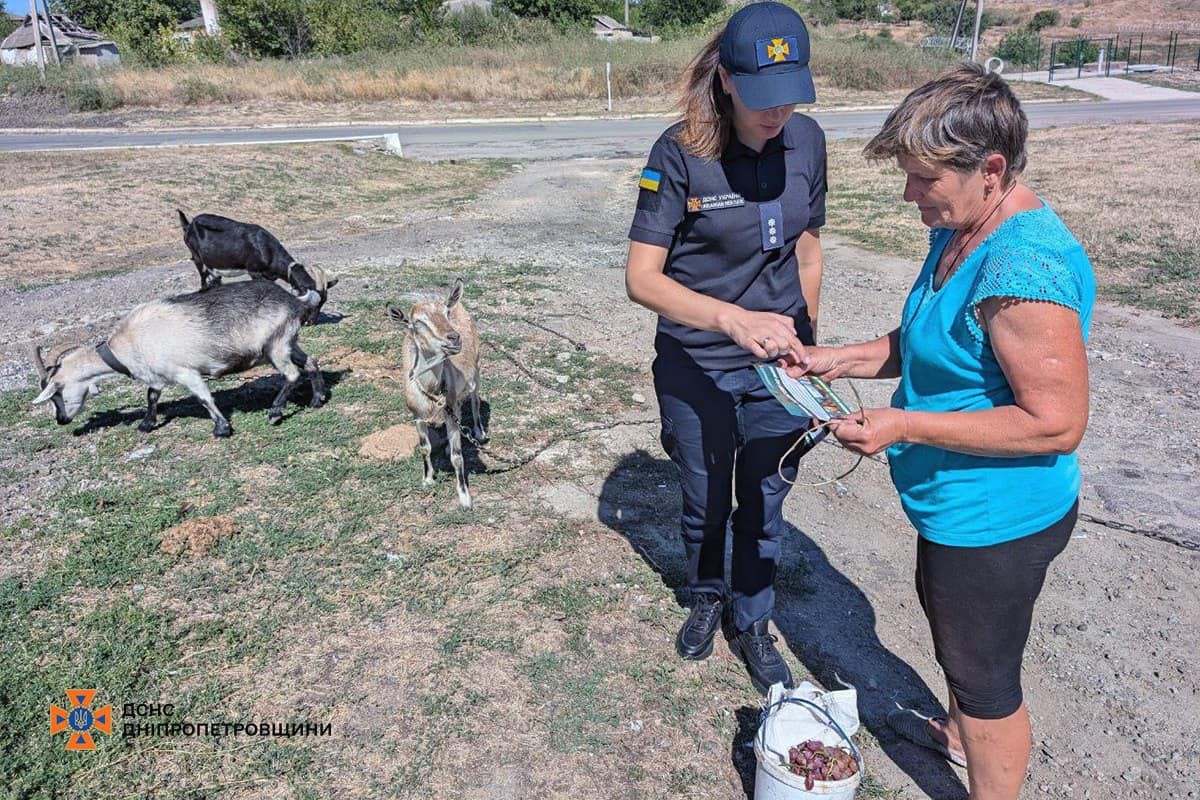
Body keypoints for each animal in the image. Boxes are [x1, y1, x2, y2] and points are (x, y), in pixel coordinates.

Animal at [31, 278, 328, 434]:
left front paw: (222, 428)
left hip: (275, 345)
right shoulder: (157, 375)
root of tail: (294, 302)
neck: (126, 345)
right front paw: (146, 424)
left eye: (56, 394)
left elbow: (203, 397)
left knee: (292, 374)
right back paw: (317, 399)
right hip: (287, 343)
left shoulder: (185, 371)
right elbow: (152, 395)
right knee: (311, 362)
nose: (61, 420)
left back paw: (275, 411)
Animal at [174, 212, 336, 328]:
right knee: (203, 280)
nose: (311, 322)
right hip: (197, 257)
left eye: (323, 303)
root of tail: (189, 224)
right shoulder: (254, 272)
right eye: (311, 304)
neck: (266, 249)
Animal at [381, 278, 480, 510]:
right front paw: (427, 479)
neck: (433, 391)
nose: (454, 338)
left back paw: (479, 432)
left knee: (475, 400)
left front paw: (465, 498)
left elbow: (457, 457)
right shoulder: (417, 416)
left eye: (445, 313)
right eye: (418, 322)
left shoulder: (451, 414)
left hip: (477, 370)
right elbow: (425, 448)